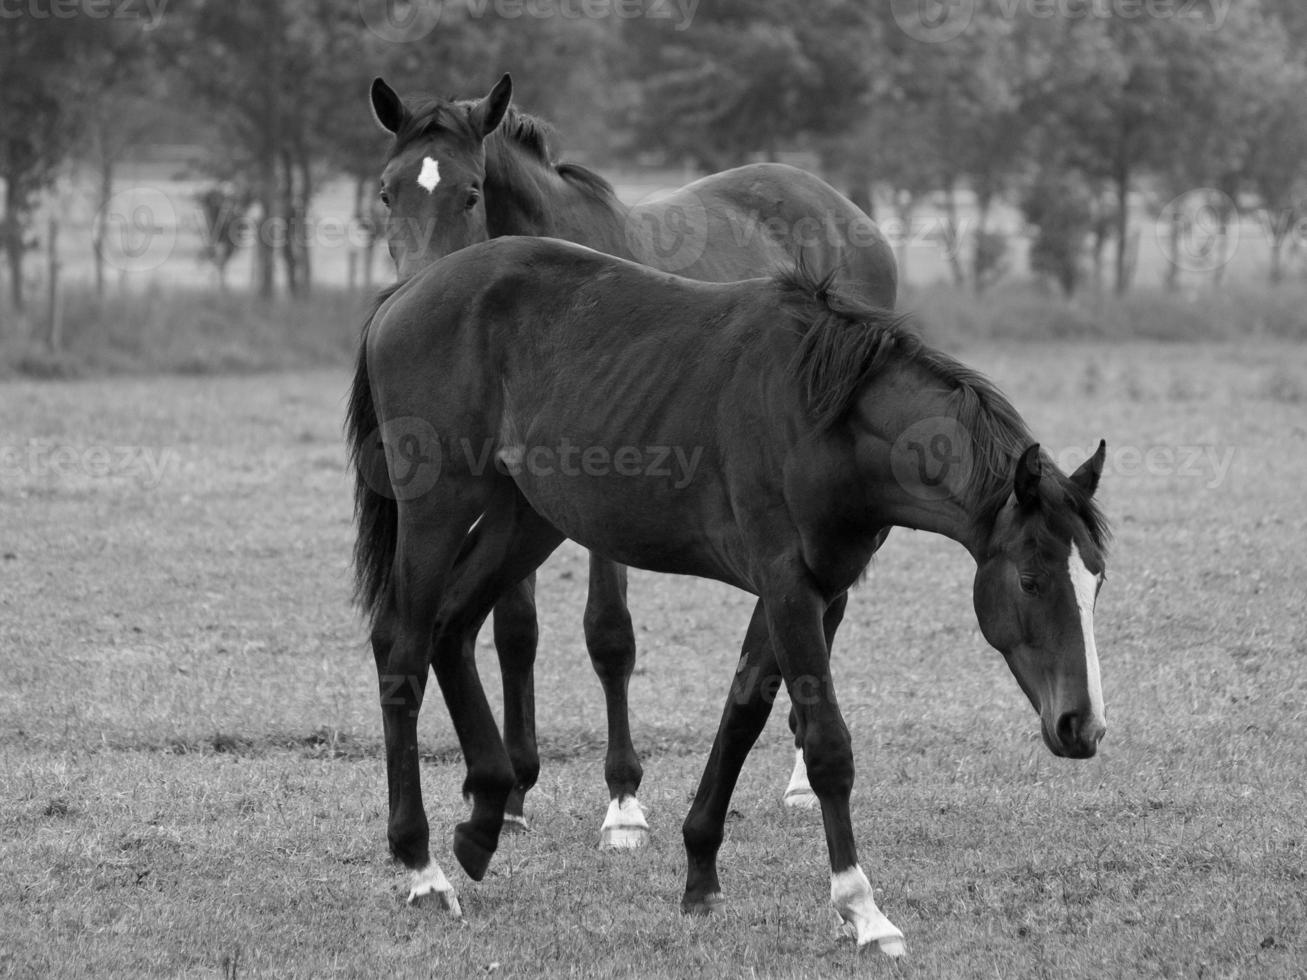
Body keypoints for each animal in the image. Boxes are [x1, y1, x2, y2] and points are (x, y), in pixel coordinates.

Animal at [342, 233, 1108, 956]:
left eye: (1096, 580)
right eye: (1031, 579)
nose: (1082, 725)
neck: (822, 419)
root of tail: (406, 294)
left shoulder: (813, 592)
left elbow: (743, 713)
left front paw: (700, 875)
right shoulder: (789, 588)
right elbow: (827, 748)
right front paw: (862, 911)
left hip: (523, 518)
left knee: (452, 629)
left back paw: (482, 820)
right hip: (438, 511)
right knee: (404, 655)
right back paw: (422, 868)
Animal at [363, 74, 904, 846]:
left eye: (469, 192)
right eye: (387, 192)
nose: (413, 292)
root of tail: (836, 204)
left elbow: (608, 635)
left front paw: (622, 800)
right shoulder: (522, 493)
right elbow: (513, 630)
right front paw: (513, 791)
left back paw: (802, 777)